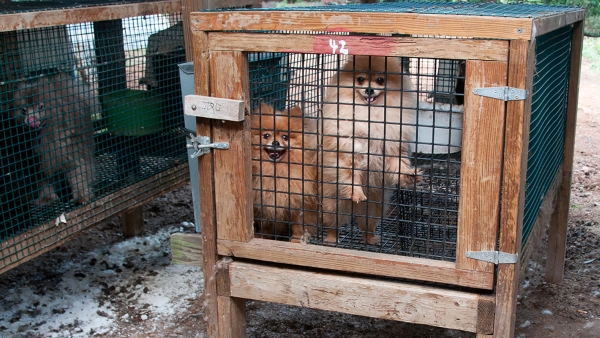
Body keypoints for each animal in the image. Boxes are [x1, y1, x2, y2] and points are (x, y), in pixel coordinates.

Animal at [12, 73, 96, 206]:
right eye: (24, 110)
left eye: (40, 107)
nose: (30, 120)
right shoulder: (40, 160)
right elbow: (44, 179)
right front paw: (47, 197)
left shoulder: (71, 152)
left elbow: (77, 173)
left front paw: (82, 195)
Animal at [251, 101, 318, 242]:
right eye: (266, 135)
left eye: (285, 136)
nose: (275, 142)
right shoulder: (265, 204)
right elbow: (267, 225)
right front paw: (264, 237)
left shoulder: (299, 202)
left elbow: (298, 225)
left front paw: (297, 240)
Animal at [322, 55, 420, 246]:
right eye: (360, 79)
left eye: (380, 80)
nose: (369, 89)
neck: (370, 114)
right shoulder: (350, 149)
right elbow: (351, 173)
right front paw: (357, 192)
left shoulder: (391, 146)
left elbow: (399, 164)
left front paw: (408, 175)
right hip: (333, 203)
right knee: (333, 223)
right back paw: (331, 239)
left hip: (374, 206)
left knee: (367, 224)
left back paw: (371, 238)